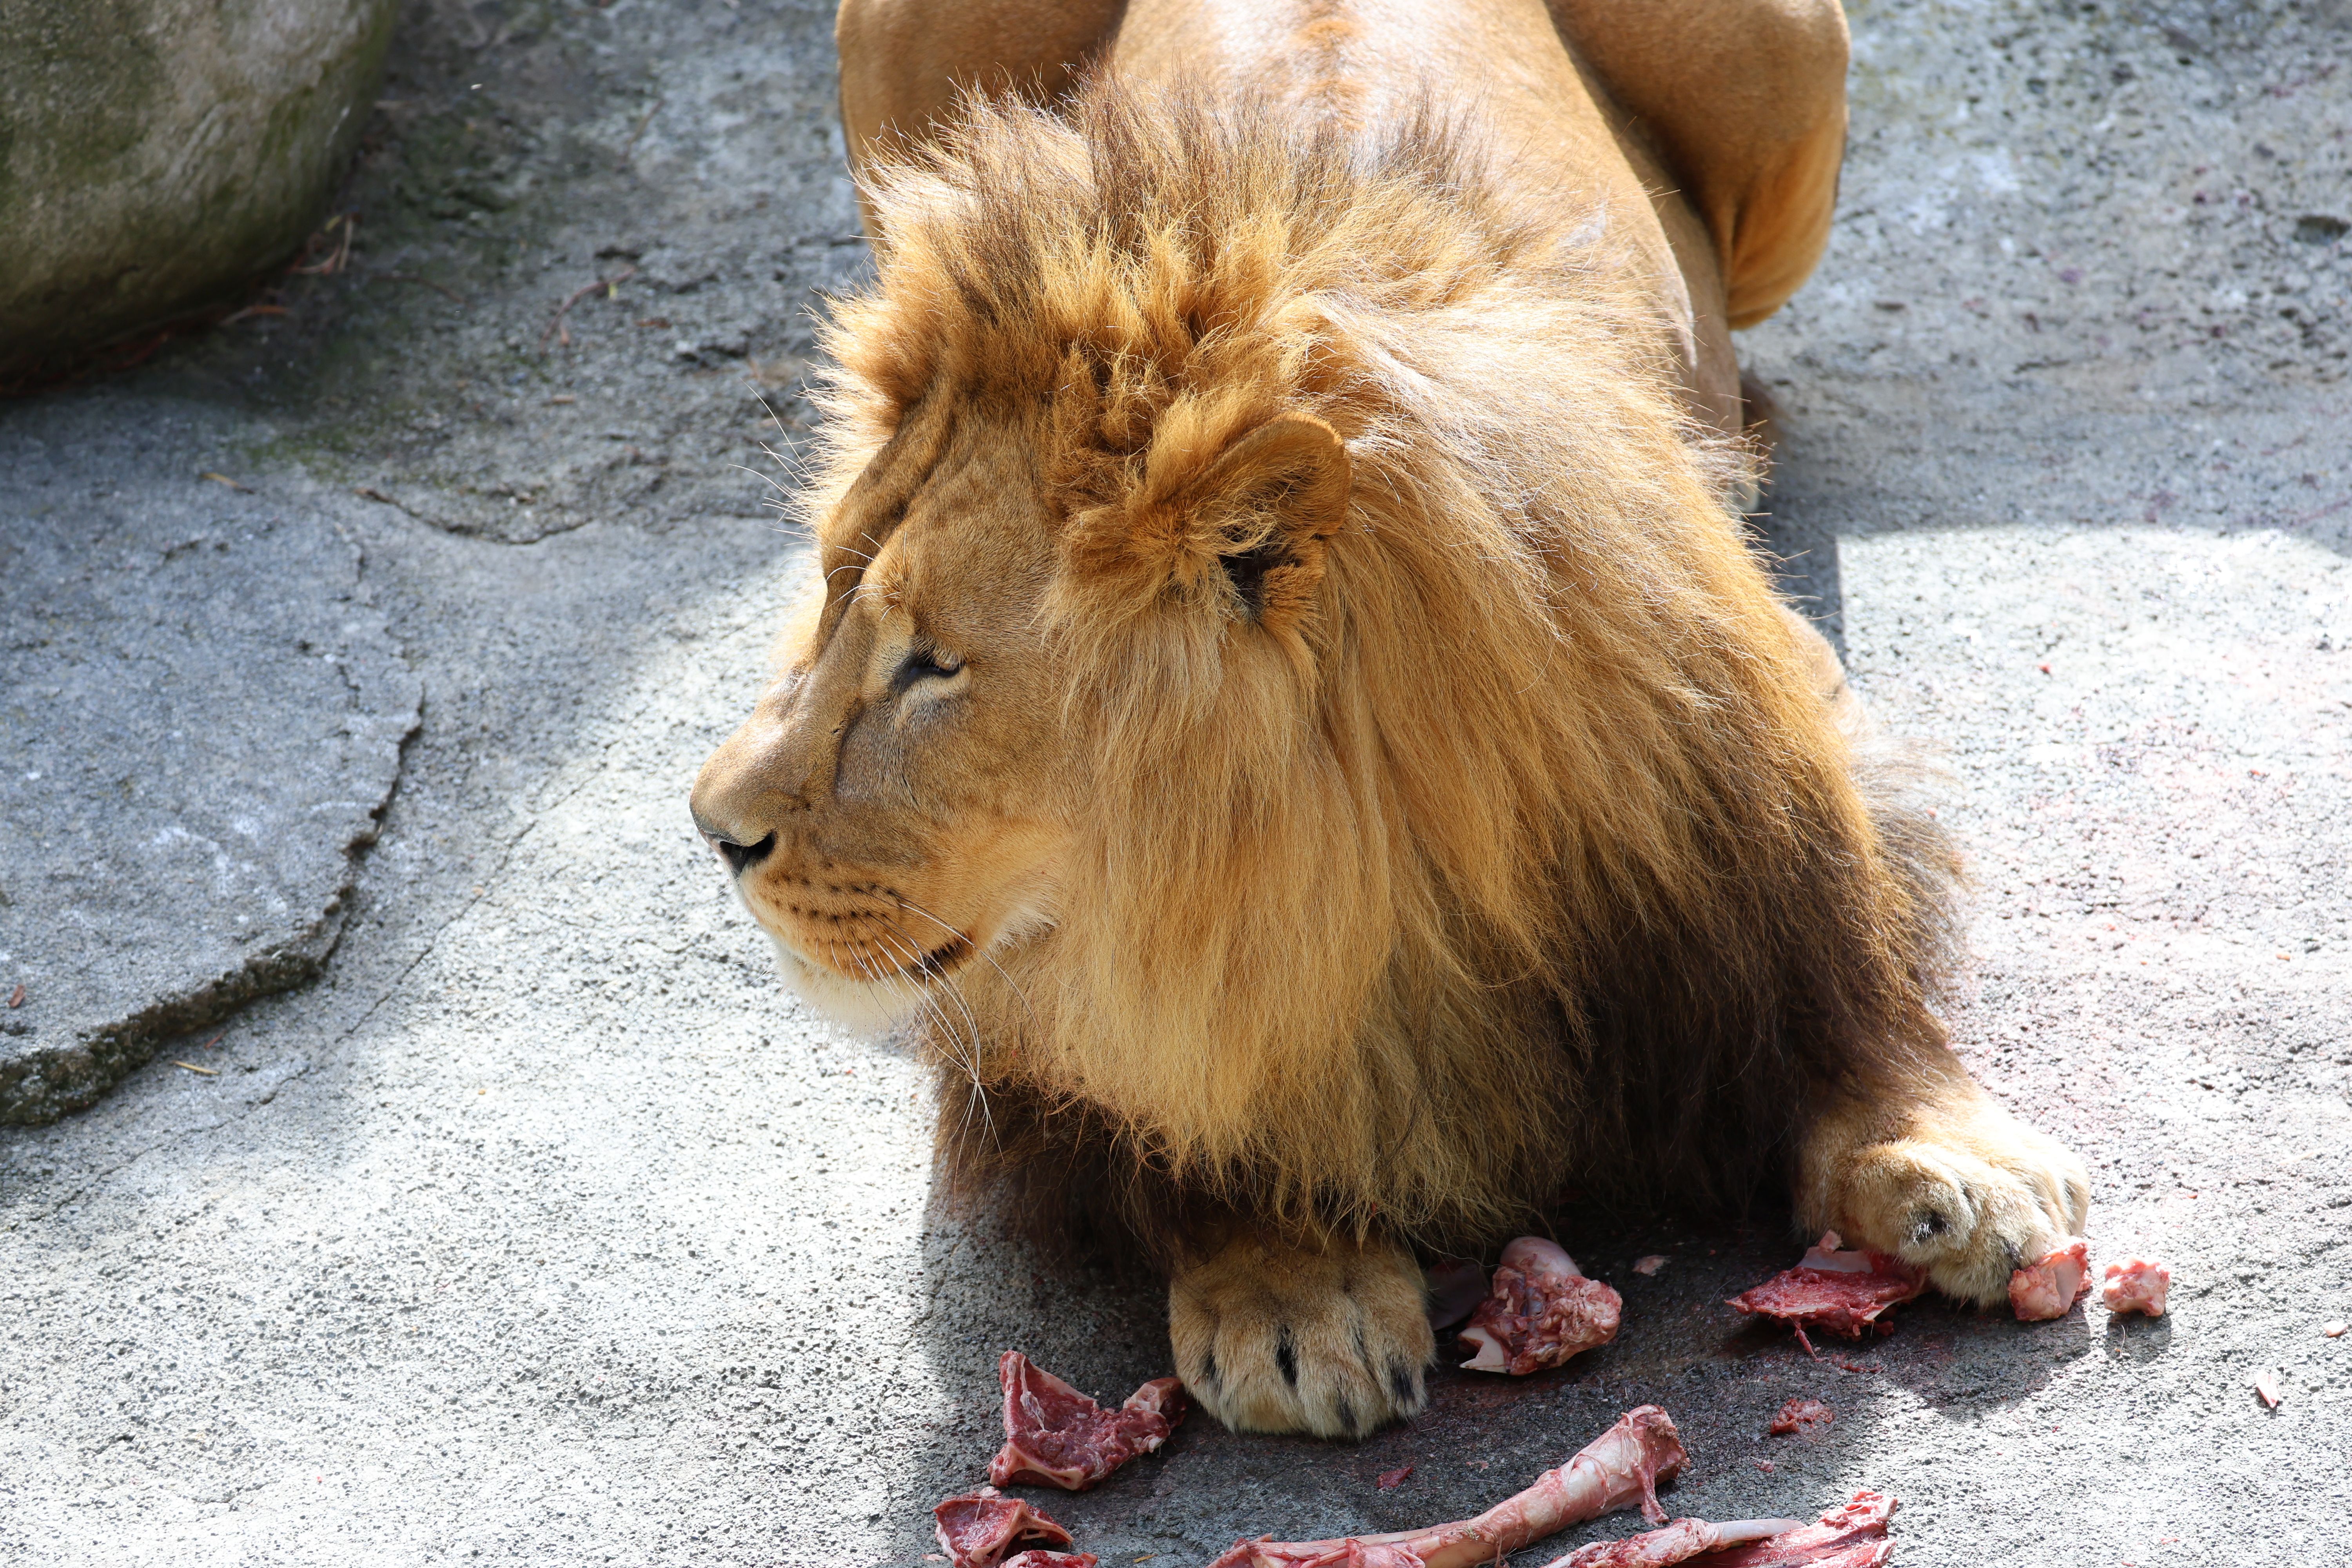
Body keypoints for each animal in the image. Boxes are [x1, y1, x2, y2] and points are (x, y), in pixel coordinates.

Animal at [690, 0, 2091, 1440]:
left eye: (932, 666)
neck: (1372, 851)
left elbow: (1847, 961)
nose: (711, 827)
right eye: (827, 588)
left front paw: (1942, 1154)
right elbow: (1183, 1097)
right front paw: (1291, 1284)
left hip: (1790, 82)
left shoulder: (1763, 744)